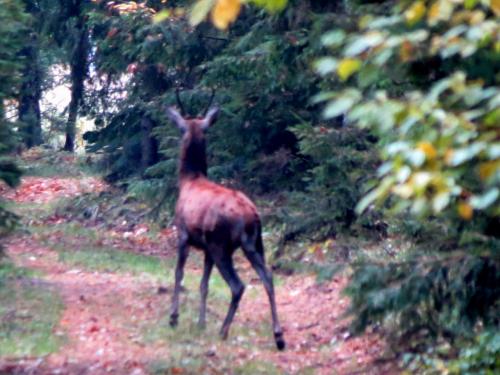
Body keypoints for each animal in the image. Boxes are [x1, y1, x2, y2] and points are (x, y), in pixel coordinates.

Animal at [166, 95, 286, 352]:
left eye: (181, 128)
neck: (188, 181)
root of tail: (251, 215)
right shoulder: (205, 248)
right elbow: (203, 284)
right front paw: (201, 322)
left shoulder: (183, 234)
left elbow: (179, 274)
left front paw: (174, 317)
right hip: (253, 244)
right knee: (268, 277)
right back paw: (279, 336)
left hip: (221, 244)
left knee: (238, 285)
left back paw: (223, 330)